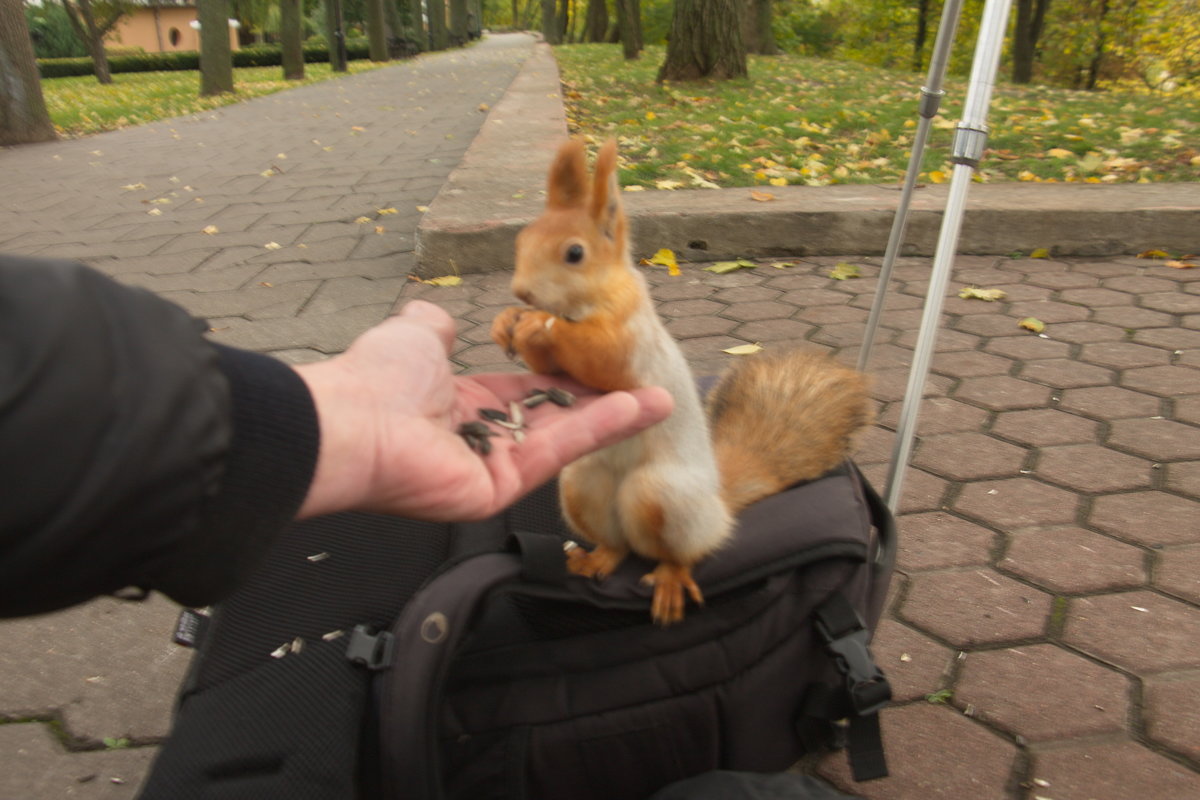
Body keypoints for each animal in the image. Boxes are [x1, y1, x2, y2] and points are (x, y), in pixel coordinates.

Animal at [487, 137, 873, 623]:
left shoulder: (633, 341)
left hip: (664, 498)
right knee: (619, 546)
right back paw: (595, 559)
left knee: (678, 553)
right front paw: (506, 321)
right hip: (581, 486)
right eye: (522, 239)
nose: (521, 292)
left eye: (575, 253)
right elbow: (550, 371)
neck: (586, 304)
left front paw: (539, 324)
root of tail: (719, 505)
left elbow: (604, 361)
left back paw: (670, 581)